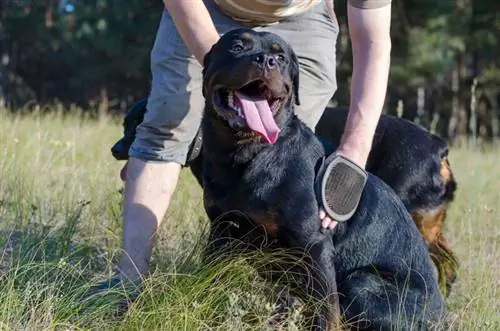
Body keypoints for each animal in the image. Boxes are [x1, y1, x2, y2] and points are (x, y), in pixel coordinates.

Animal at [195, 29, 446, 330]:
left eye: (281, 57)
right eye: (236, 46)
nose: (267, 60)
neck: (248, 153)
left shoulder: (314, 244)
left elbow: (327, 309)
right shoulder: (222, 229)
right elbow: (210, 280)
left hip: (363, 281)